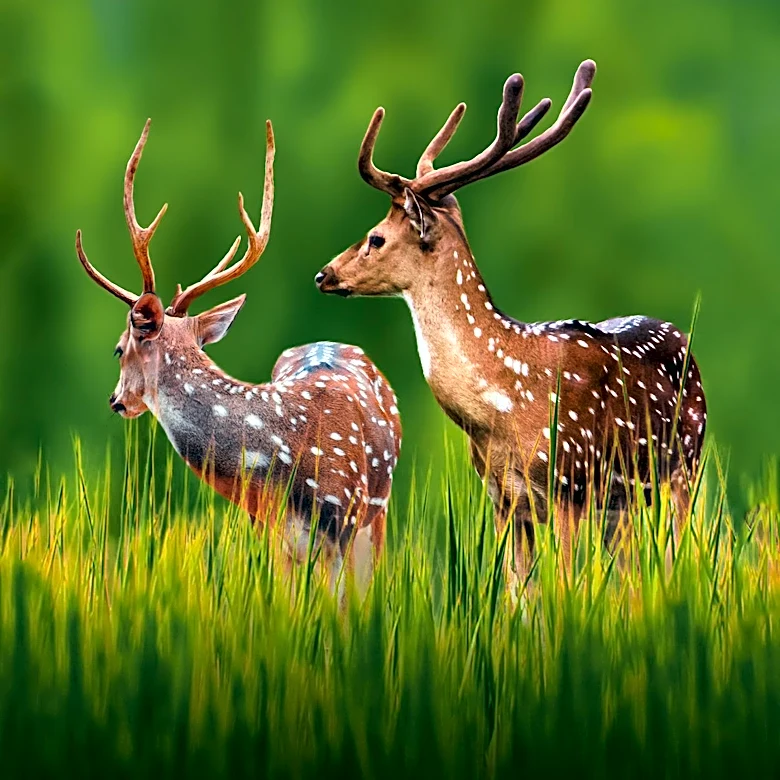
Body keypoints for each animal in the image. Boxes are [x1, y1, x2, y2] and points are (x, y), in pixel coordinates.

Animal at [315, 59, 707, 590]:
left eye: (375, 238)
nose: (324, 274)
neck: (500, 407)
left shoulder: (569, 483)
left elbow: (565, 588)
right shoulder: (503, 499)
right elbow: (516, 595)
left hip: (684, 471)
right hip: (623, 506)